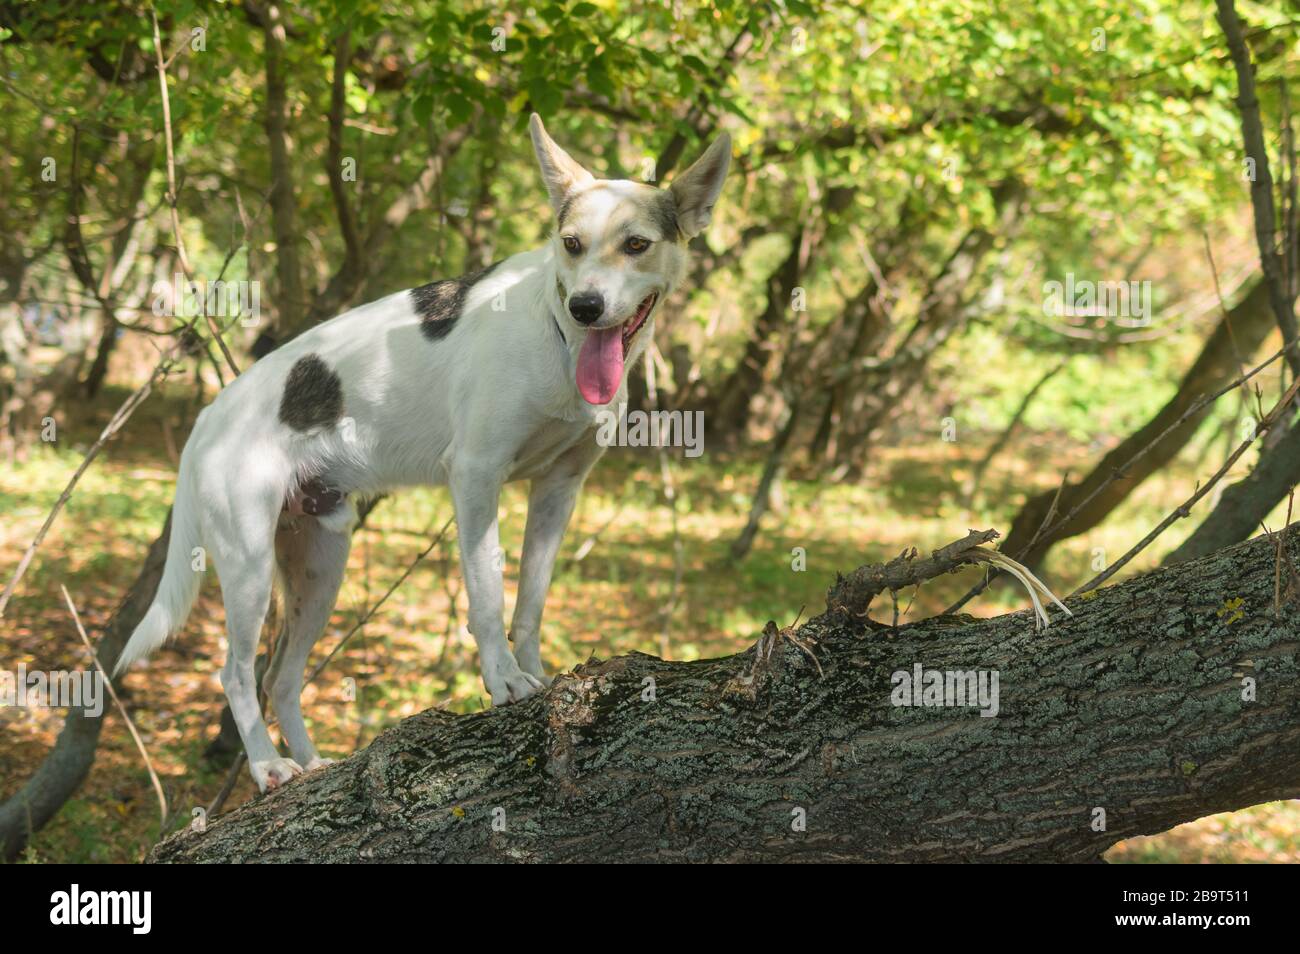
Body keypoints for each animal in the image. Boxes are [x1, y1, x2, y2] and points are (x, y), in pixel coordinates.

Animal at [114, 115, 733, 795]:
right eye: (570, 244)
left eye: (636, 245)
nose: (586, 307)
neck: (557, 334)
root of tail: (210, 414)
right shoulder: (476, 476)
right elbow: (488, 594)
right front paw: (503, 680)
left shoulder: (559, 490)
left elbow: (530, 602)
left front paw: (540, 675)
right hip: (248, 565)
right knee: (235, 674)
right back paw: (267, 765)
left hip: (321, 562)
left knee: (280, 678)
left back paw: (312, 764)